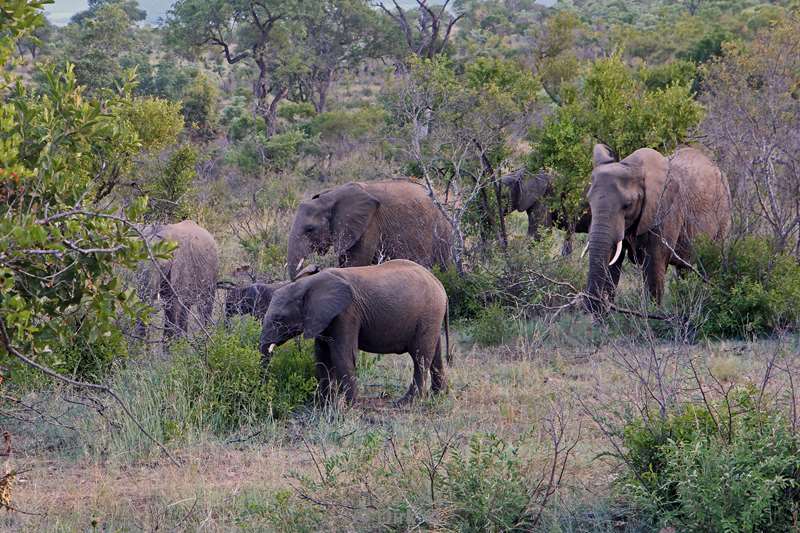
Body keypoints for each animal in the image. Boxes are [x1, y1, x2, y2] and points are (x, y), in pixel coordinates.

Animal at [258, 258, 450, 404]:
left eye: (279, 319)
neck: (307, 284)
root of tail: (440, 285)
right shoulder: (322, 318)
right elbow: (322, 356)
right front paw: (324, 404)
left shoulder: (346, 313)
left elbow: (342, 355)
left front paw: (350, 405)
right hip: (432, 318)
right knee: (435, 355)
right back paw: (438, 396)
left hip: (428, 314)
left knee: (420, 357)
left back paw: (406, 403)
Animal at [580, 143, 732, 314]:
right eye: (589, 202)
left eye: (628, 205)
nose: (587, 311)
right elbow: (613, 262)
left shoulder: (666, 211)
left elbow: (654, 266)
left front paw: (652, 314)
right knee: (685, 270)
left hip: (725, 215)